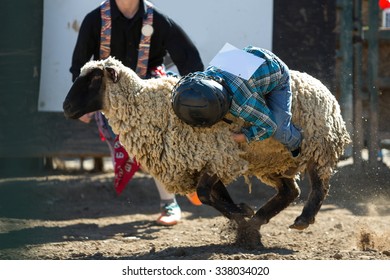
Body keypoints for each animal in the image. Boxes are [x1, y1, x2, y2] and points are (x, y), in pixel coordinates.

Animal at [63, 57, 350, 247]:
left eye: (94, 78)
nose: (66, 108)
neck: (149, 107)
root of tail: (324, 88)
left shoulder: (218, 156)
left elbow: (205, 194)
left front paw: (241, 216)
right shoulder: (205, 162)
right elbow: (214, 196)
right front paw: (243, 219)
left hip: (318, 145)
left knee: (319, 185)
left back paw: (304, 218)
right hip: (269, 160)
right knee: (290, 191)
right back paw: (260, 218)